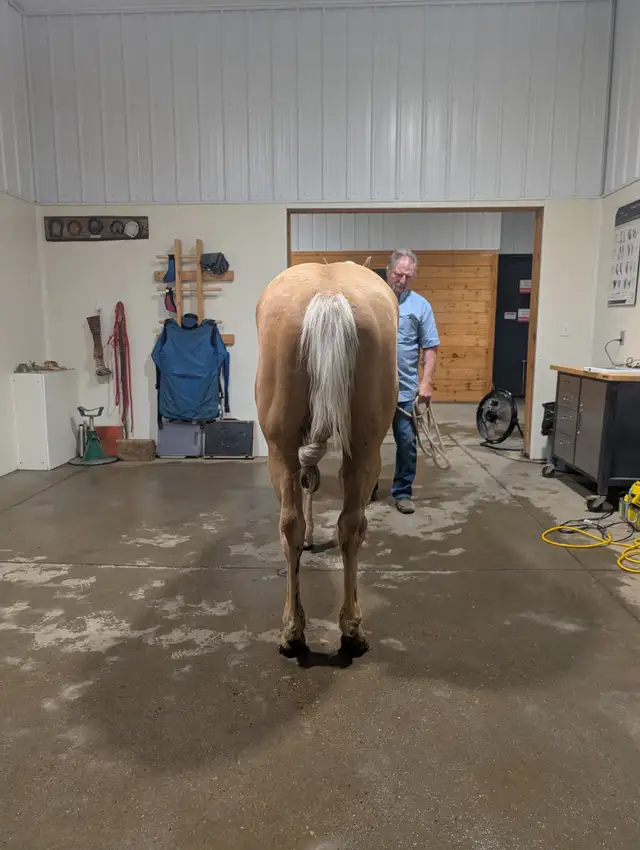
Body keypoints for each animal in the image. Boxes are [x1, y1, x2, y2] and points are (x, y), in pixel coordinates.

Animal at [255, 259, 398, 657]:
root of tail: (330, 295)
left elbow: (308, 487)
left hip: (282, 448)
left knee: (294, 524)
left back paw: (298, 630)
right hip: (364, 449)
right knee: (349, 525)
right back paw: (346, 630)